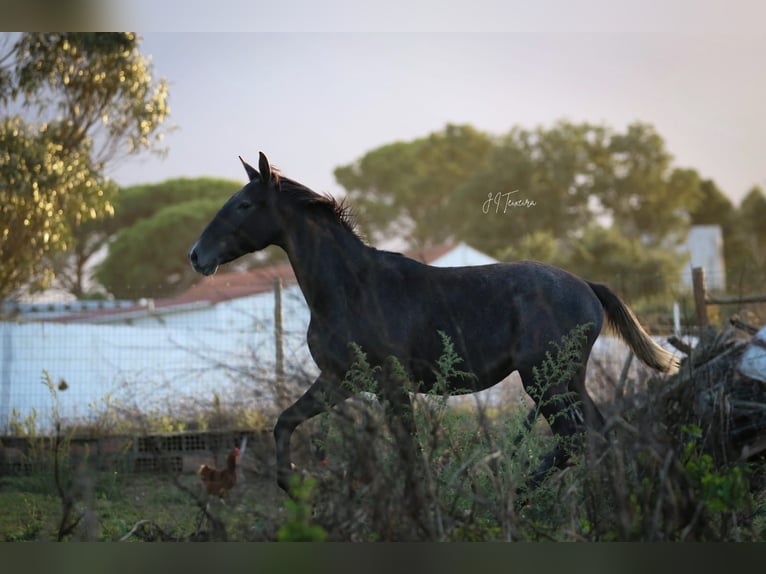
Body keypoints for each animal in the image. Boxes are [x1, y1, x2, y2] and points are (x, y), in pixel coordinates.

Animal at [189, 152, 680, 500]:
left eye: (244, 205)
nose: (197, 255)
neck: (352, 287)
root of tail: (587, 287)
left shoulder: (385, 383)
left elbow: (409, 449)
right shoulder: (340, 379)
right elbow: (285, 422)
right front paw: (295, 486)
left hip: (547, 381)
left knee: (577, 438)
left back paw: (519, 494)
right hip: (565, 380)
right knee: (594, 433)